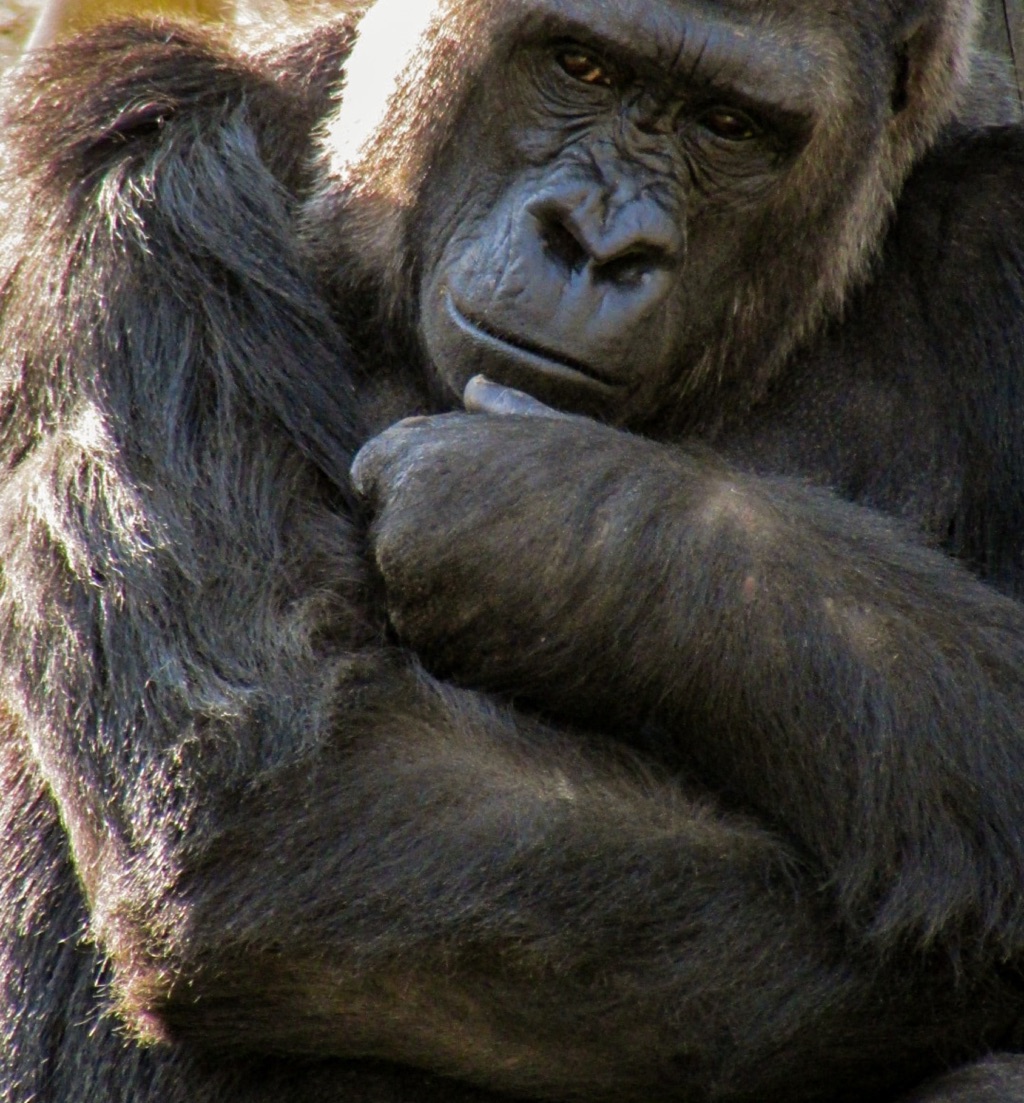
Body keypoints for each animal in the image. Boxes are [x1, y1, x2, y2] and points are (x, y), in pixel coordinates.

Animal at [4, 0, 1024, 1098]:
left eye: (728, 125)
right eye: (579, 65)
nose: (597, 243)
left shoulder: (1000, 241)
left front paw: (550, 516)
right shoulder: (127, 165)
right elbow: (276, 788)